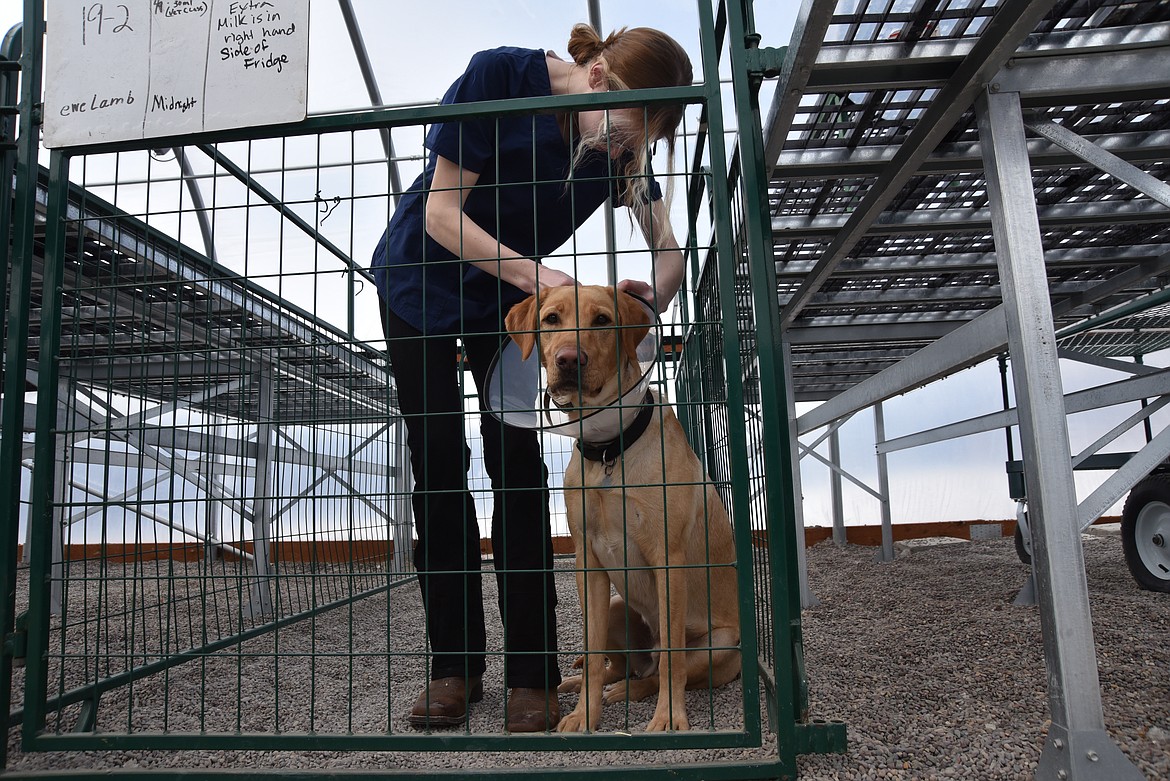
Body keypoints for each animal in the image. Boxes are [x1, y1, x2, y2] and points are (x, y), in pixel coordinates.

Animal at [503, 286, 739, 734]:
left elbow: (672, 664)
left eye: (602, 320)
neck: (609, 449)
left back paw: (631, 691)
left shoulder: (668, 558)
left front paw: (668, 718)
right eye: (551, 318)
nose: (568, 359)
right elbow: (594, 652)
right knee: (621, 665)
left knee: (660, 668)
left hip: (720, 642)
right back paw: (586, 684)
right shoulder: (589, 563)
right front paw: (584, 715)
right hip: (616, 606)